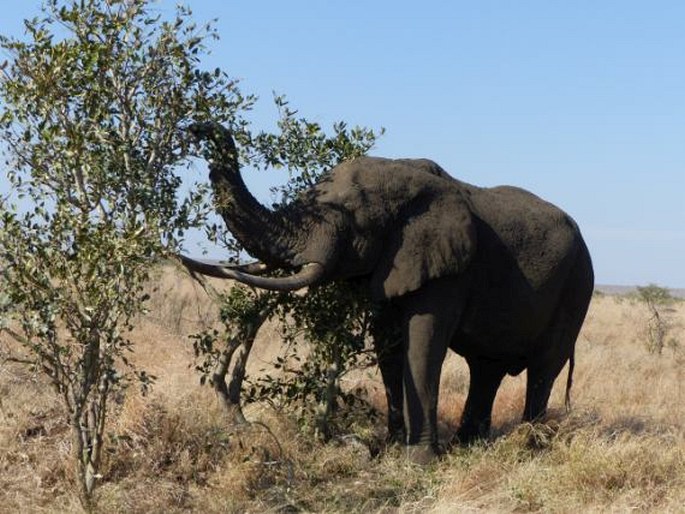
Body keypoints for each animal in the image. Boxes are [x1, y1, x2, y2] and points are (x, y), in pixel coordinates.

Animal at [183, 122, 592, 462]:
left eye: (347, 217)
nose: (198, 127)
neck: (407, 181)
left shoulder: (450, 269)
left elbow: (422, 343)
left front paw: (420, 462)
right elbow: (389, 345)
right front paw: (393, 450)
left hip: (577, 286)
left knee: (543, 367)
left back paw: (530, 446)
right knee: (486, 368)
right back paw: (468, 446)